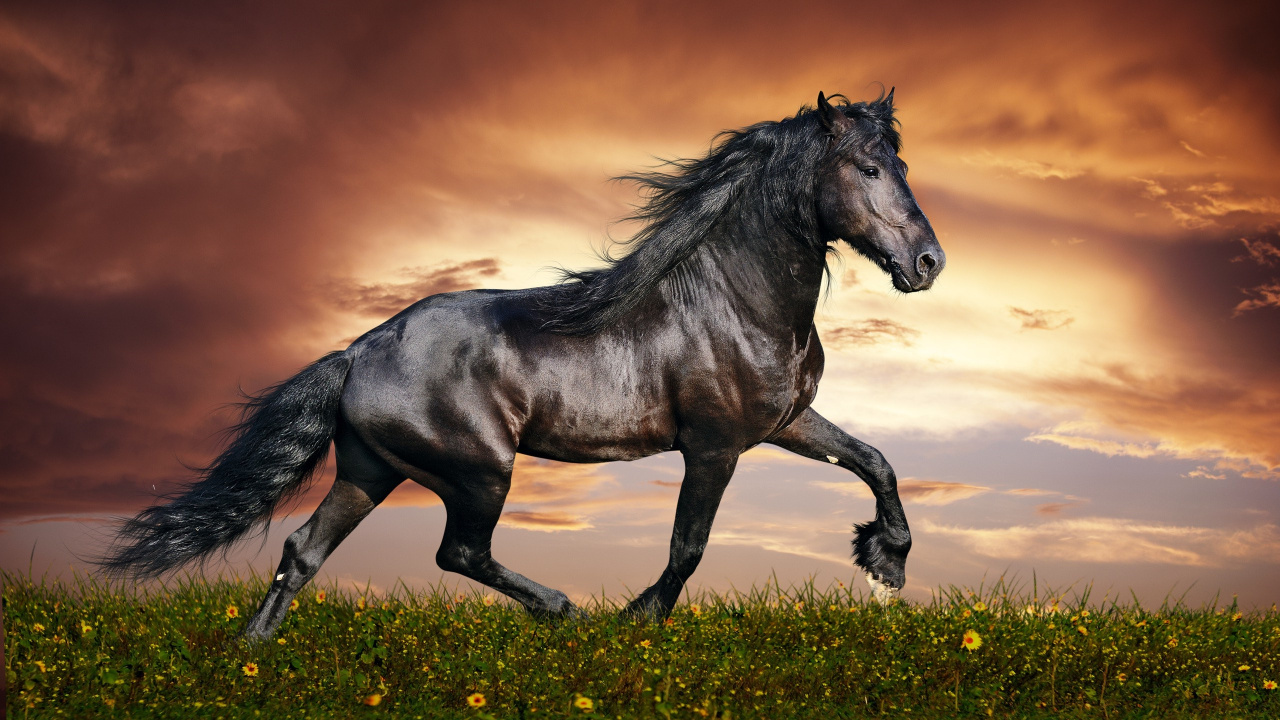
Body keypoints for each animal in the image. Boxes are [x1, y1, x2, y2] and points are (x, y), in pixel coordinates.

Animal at [97, 90, 944, 639]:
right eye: (868, 170)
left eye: (901, 165)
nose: (928, 263)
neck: (734, 299)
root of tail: (359, 351)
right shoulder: (714, 445)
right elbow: (688, 546)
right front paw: (637, 621)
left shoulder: (784, 421)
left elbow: (875, 460)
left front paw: (886, 563)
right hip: (479, 470)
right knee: (458, 552)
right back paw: (563, 609)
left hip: (371, 470)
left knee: (303, 553)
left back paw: (253, 657)